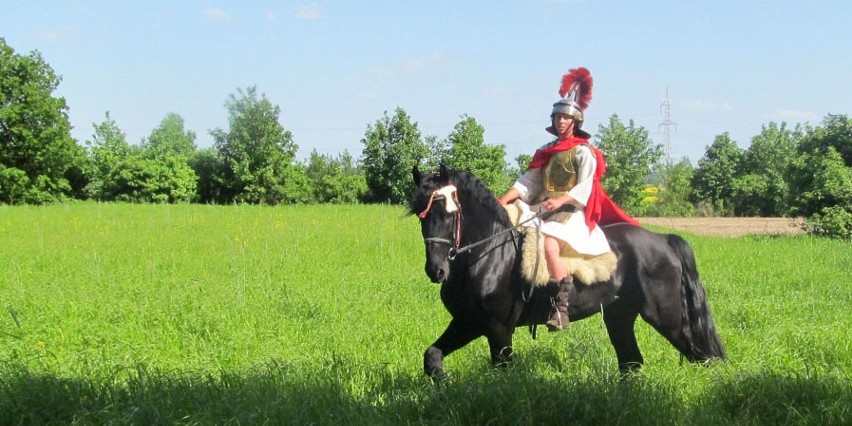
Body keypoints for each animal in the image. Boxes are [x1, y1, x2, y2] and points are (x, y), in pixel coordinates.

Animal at [410, 165, 724, 378]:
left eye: (448, 213)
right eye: (421, 216)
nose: (436, 270)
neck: (490, 253)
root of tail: (663, 239)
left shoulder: (498, 328)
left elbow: (501, 371)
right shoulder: (468, 322)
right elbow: (432, 357)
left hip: (668, 318)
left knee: (702, 356)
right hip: (619, 316)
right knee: (631, 362)